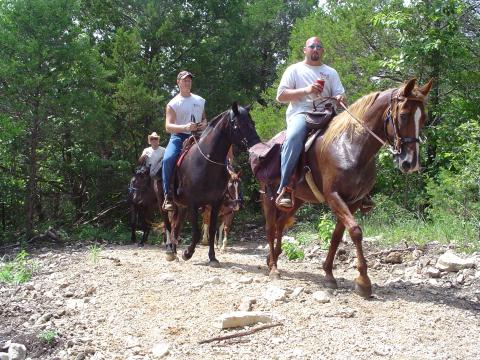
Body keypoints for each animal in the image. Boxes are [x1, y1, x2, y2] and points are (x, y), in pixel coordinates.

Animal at [166, 102, 262, 264]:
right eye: (238, 124)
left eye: (253, 123)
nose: (256, 144)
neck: (206, 163)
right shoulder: (193, 203)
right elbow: (196, 232)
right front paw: (187, 253)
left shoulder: (215, 203)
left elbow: (212, 230)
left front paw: (212, 257)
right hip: (173, 204)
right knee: (170, 225)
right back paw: (170, 252)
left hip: (182, 206)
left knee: (176, 225)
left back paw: (173, 252)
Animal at [260, 79, 434, 298]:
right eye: (403, 115)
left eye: (424, 118)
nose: (411, 163)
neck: (351, 146)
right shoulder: (334, 196)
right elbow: (356, 231)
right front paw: (364, 281)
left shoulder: (354, 201)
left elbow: (337, 236)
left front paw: (329, 274)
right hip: (268, 197)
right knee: (270, 227)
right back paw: (274, 268)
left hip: (297, 200)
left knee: (281, 223)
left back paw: (272, 257)